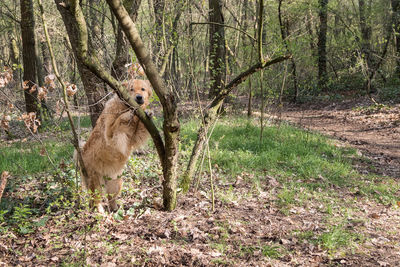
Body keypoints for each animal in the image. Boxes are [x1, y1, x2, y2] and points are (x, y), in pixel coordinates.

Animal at [77, 79, 152, 214]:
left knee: (110, 198)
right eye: (131, 89)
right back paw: (100, 212)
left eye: (142, 89)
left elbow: (140, 128)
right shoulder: (110, 133)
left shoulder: (134, 137)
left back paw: (115, 209)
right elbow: (119, 120)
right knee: (95, 199)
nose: (139, 97)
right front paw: (128, 114)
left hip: (116, 182)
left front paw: (148, 113)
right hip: (95, 181)